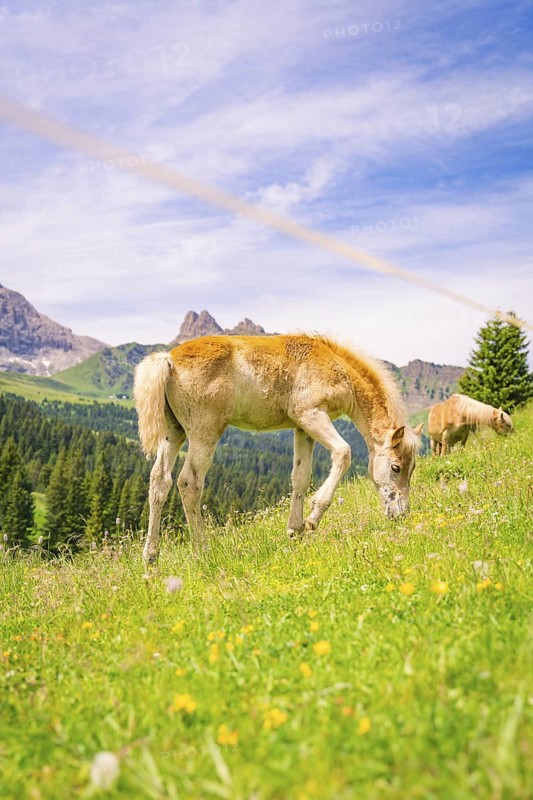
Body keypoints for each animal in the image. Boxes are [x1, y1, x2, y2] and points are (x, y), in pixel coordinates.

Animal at [134, 334, 423, 563]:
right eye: (396, 467)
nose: (401, 515)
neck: (336, 366)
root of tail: (168, 359)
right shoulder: (310, 413)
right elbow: (343, 453)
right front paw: (313, 518)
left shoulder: (302, 428)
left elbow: (301, 478)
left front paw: (295, 530)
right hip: (204, 431)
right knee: (189, 482)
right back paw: (202, 550)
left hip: (174, 432)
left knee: (159, 480)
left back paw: (151, 557)